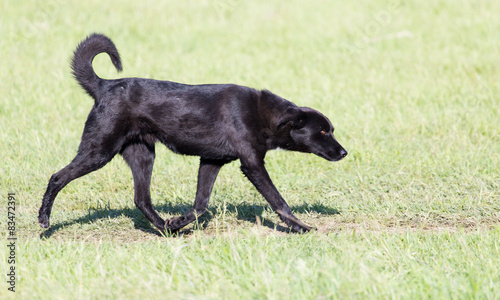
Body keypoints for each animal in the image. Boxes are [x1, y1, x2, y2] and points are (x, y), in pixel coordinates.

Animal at [38, 34, 348, 233]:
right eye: (323, 130)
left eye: (331, 129)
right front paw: (303, 227)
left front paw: (179, 221)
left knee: (142, 199)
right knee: (57, 177)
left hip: (142, 155)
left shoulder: (211, 161)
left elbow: (201, 204)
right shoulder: (252, 165)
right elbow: (278, 201)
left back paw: (166, 228)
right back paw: (44, 221)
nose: (344, 152)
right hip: (99, 150)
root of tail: (104, 86)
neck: (263, 114)